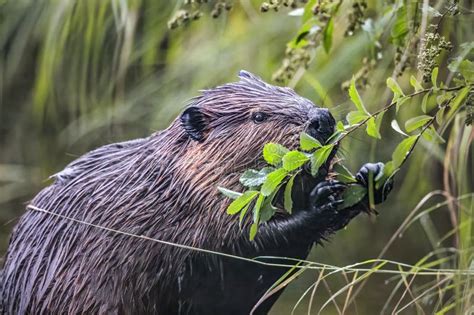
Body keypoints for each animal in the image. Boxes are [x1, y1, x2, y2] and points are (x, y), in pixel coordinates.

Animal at [0, 70, 392, 314]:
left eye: (293, 92)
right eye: (258, 116)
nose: (322, 119)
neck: (166, 183)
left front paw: (371, 176)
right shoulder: (194, 211)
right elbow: (245, 240)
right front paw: (322, 199)